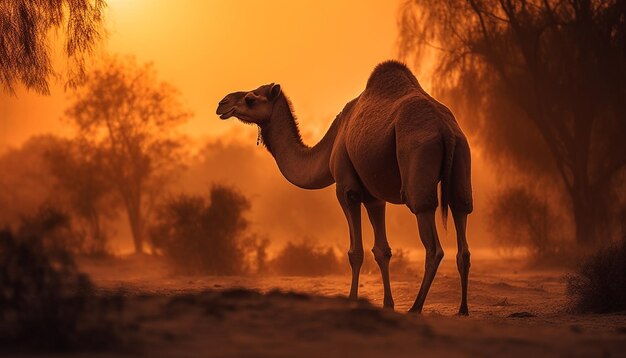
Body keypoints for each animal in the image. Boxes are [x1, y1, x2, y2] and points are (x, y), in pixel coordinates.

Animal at [217, 60, 470, 314]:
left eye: (250, 98)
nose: (222, 104)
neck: (332, 141)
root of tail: (445, 129)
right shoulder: (374, 197)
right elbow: (382, 251)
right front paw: (388, 304)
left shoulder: (347, 189)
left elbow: (355, 252)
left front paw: (352, 299)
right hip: (461, 160)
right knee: (462, 219)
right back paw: (462, 309)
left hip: (418, 168)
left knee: (432, 243)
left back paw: (416, 307)